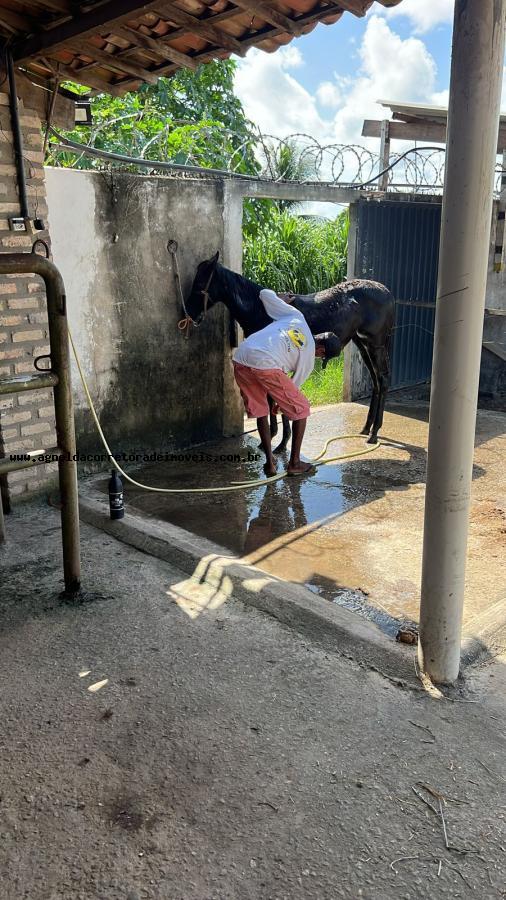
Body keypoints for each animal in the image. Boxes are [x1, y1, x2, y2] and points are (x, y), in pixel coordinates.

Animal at [186, 251, 396, 448]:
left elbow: (277, 398)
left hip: (375, 345)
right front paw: (273, 437)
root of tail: (387, 293)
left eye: (200, 283)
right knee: (376, 381)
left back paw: (374, 433)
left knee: (383, 380)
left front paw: (281, 442)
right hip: (362, 345)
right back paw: (366, 428)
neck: (258, 308)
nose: (189, 313)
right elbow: (271, 398)